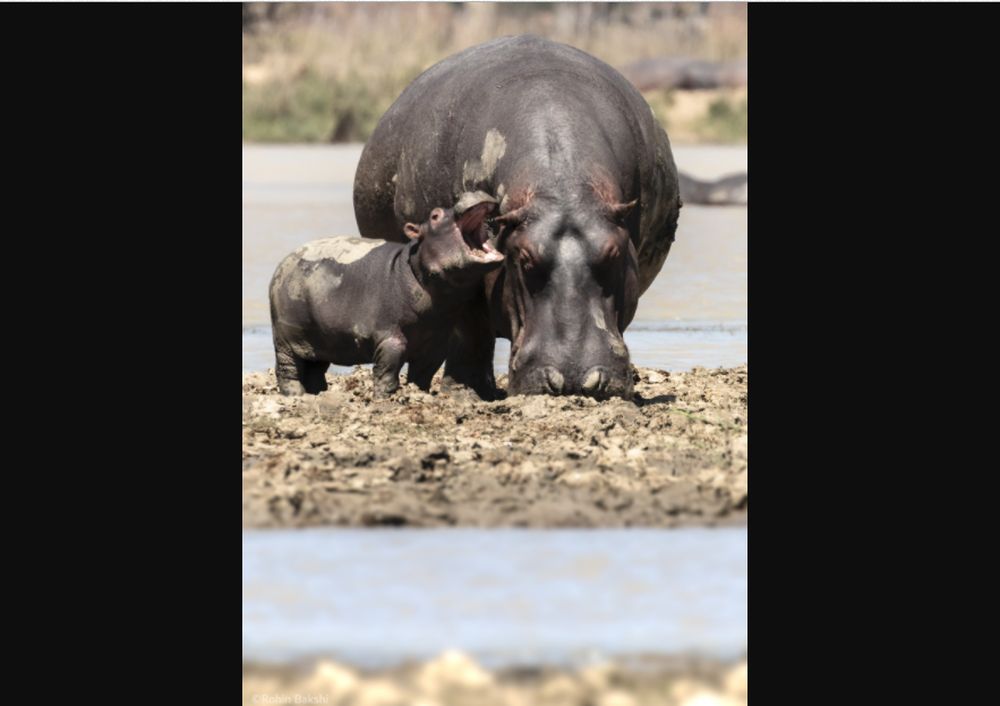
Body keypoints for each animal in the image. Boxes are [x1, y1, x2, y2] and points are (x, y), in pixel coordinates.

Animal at [268, 198, 500, 396]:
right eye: (435, 215)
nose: (471, 194)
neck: (414, 267)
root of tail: (282, 264)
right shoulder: (389, 335)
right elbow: (387, 369)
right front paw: (385, 397)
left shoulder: (436, 341)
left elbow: (423, 374)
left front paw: (418, 393)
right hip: (286, 337)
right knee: (287, 369)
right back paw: (295, 395)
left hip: (321, 339)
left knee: (314, 370)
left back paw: (318, 394)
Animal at [352, 35, 680, 398]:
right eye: (524, 258)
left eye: (613, 253)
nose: (576, 378)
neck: (562, 193)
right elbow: (469, 327)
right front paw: (464, 392)